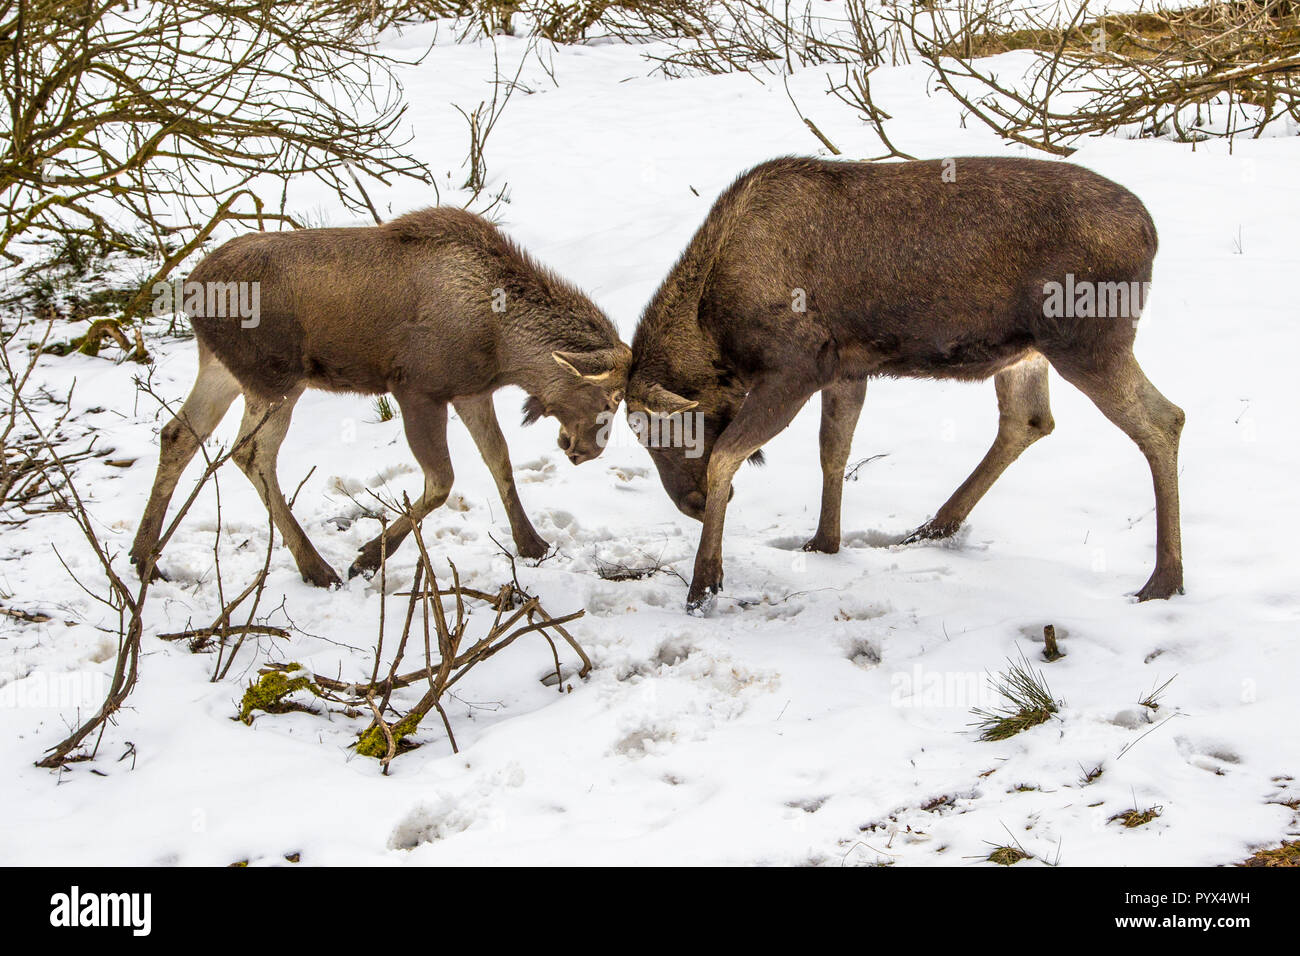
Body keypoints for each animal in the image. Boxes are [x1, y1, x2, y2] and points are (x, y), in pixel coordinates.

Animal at [130, 205, 629, 587]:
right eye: (610, 400)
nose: (585, 450)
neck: (504, 347)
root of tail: (188, 290)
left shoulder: (470, 391)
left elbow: (498, 458)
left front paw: (532, 544)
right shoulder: (416, 388)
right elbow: (441, 481)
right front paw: (368, 557)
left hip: (224, 370)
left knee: (178, 434)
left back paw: (144, 558)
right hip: (276, 379)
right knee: (251, 453)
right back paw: (317, 567)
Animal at [629, 157, 1190, 613]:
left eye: (656, 431)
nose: (692, 502)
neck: (714, 329)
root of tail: (1152, 233)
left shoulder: (795, 366)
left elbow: (727, 453)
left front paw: (704, 584)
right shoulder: (846, 369)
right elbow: (833, 450)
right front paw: (823, 542)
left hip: (1087, 338)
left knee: (1164, 419)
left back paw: (1164, 580)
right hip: (1030, 353)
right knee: (1028, 420)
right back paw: (934, 526)